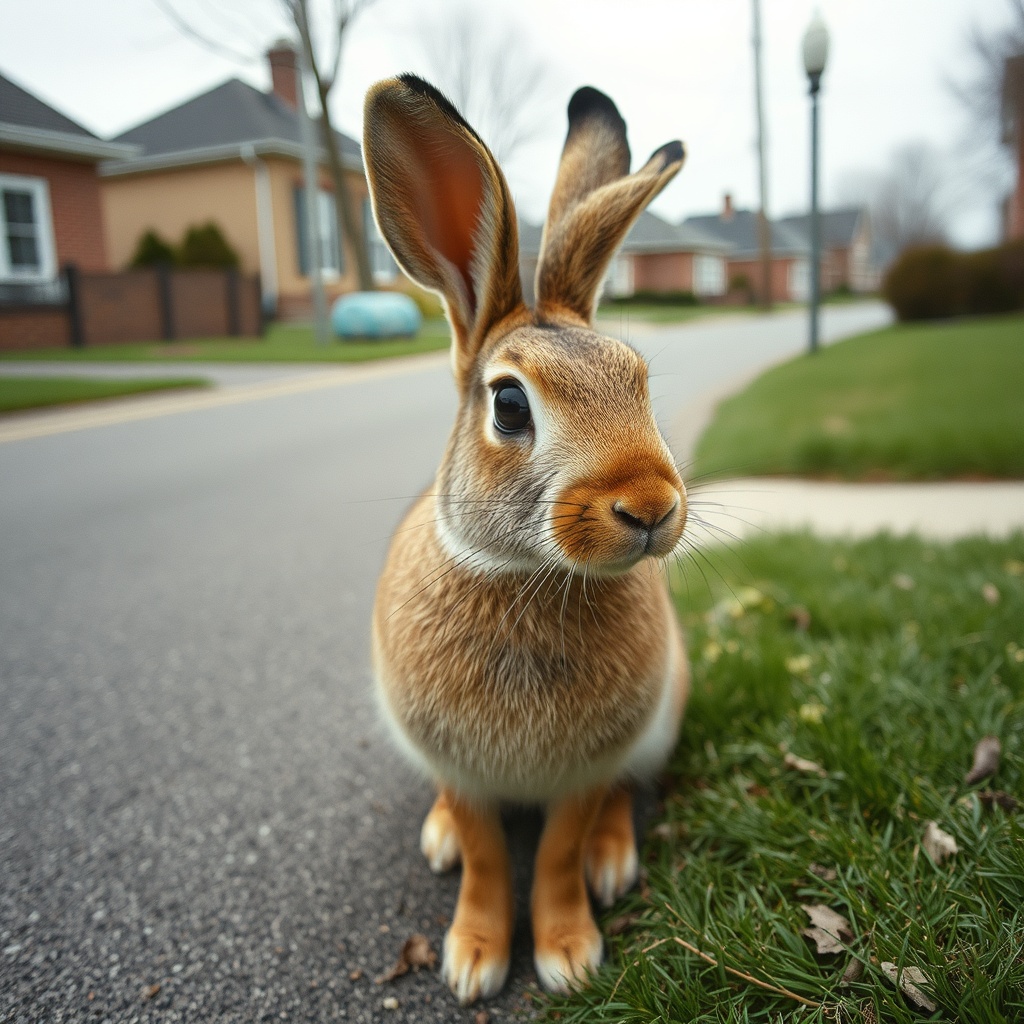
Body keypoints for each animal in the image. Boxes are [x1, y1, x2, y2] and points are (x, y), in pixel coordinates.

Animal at [364, 74, 690, 1005]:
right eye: (510, 404)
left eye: (638, 380)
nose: (651, 505)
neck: (524, 571)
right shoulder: (459, 767)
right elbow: (484, 855)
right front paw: (474, 959)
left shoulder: (585, 771)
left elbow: (556, 852)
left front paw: (568, 955)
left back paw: (614, 862)